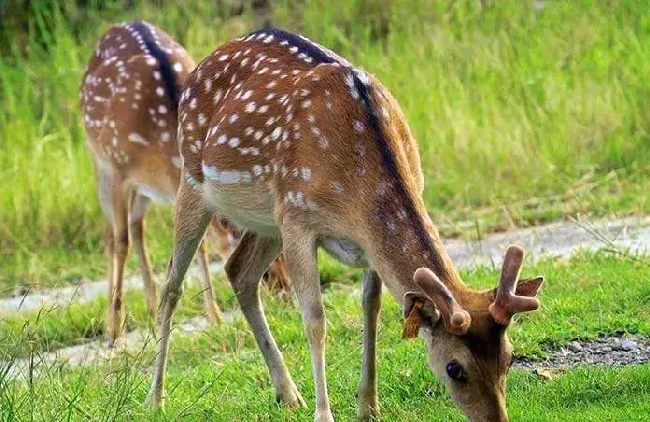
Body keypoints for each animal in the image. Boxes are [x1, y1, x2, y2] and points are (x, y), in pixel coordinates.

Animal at [77, 20, 288, 346]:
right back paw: (117, 320)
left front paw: (214, 316)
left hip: (143, 189)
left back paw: (152, 307)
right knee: (113, 234)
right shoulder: (116, 167)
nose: (284, 289)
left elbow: (197, 245)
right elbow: (121, 242)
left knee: (137, 225)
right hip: (99, 161)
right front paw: (113, 331)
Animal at [144, 27, 544, 422]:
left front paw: (368, 405)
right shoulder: (298, 218)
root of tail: (200, 65)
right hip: (194, 182)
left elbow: (372, 306)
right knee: (172, 287)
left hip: (266, 219)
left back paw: (288, 394)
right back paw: (156, 398)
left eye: (509, 357)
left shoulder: (363, 240)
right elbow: (315, 320)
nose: (497, 419)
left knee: (239, 270)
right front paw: (325, 414)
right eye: (454, 368)